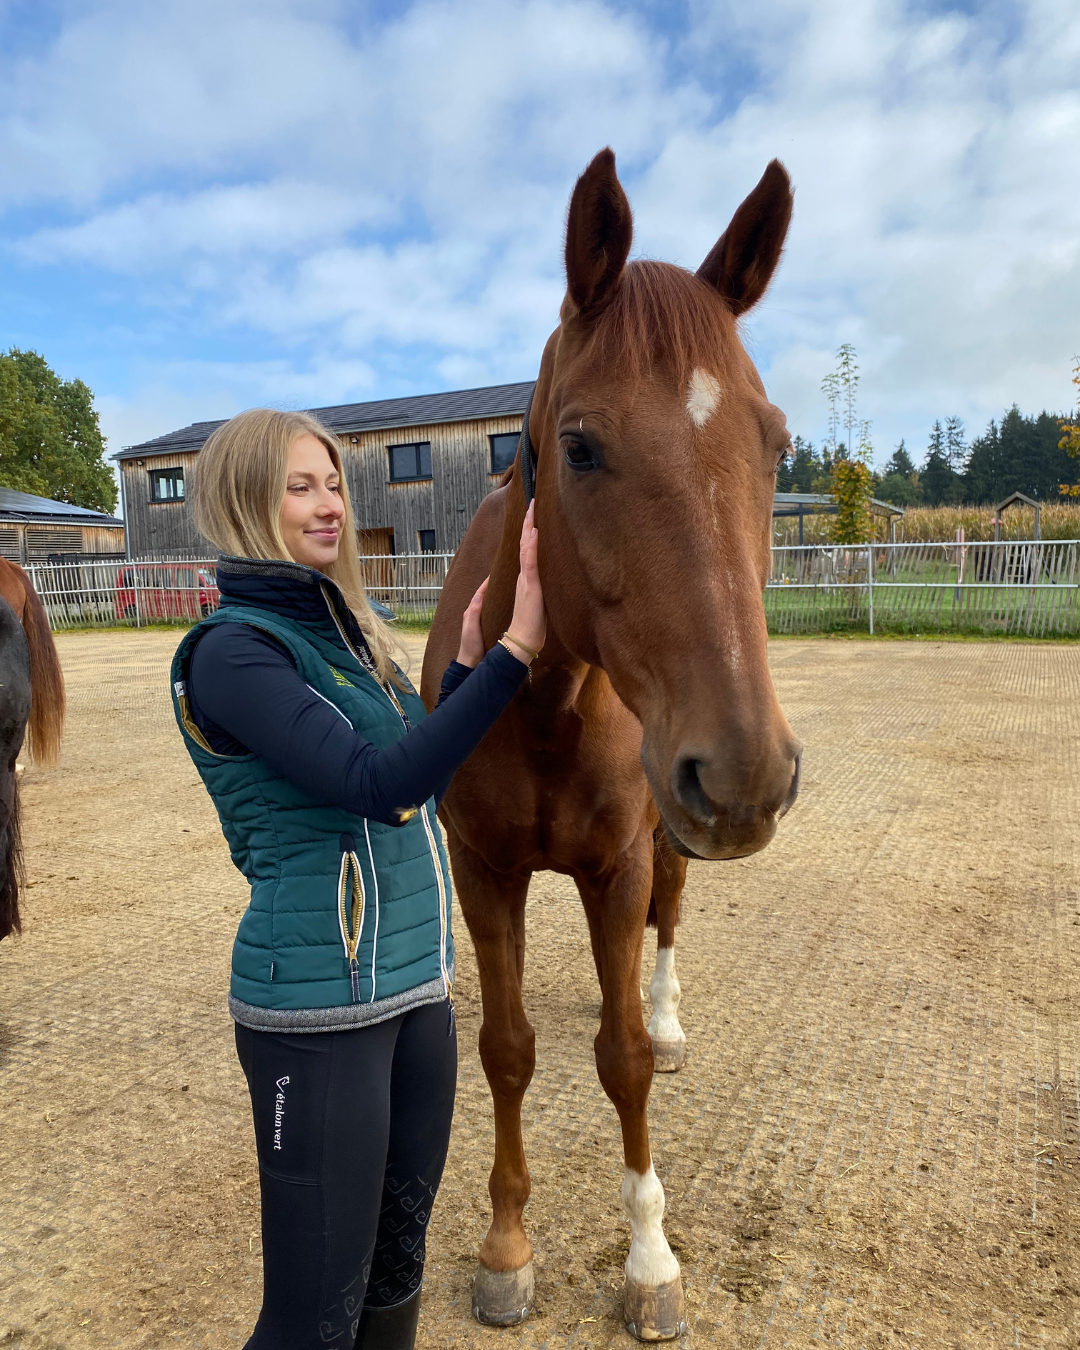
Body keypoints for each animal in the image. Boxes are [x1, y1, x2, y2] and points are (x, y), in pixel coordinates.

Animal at [421, 148, 801, 1342]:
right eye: (579, 446)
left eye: (776, 444)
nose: (748, 772)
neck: (543, 696)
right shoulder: (488, 873)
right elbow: (506, 1053)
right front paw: (507, 1248)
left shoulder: (625, 858)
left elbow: (623, 1062)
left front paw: (649, 1260)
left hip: (668, 833)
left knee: (665, 927)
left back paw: (665, 1011)